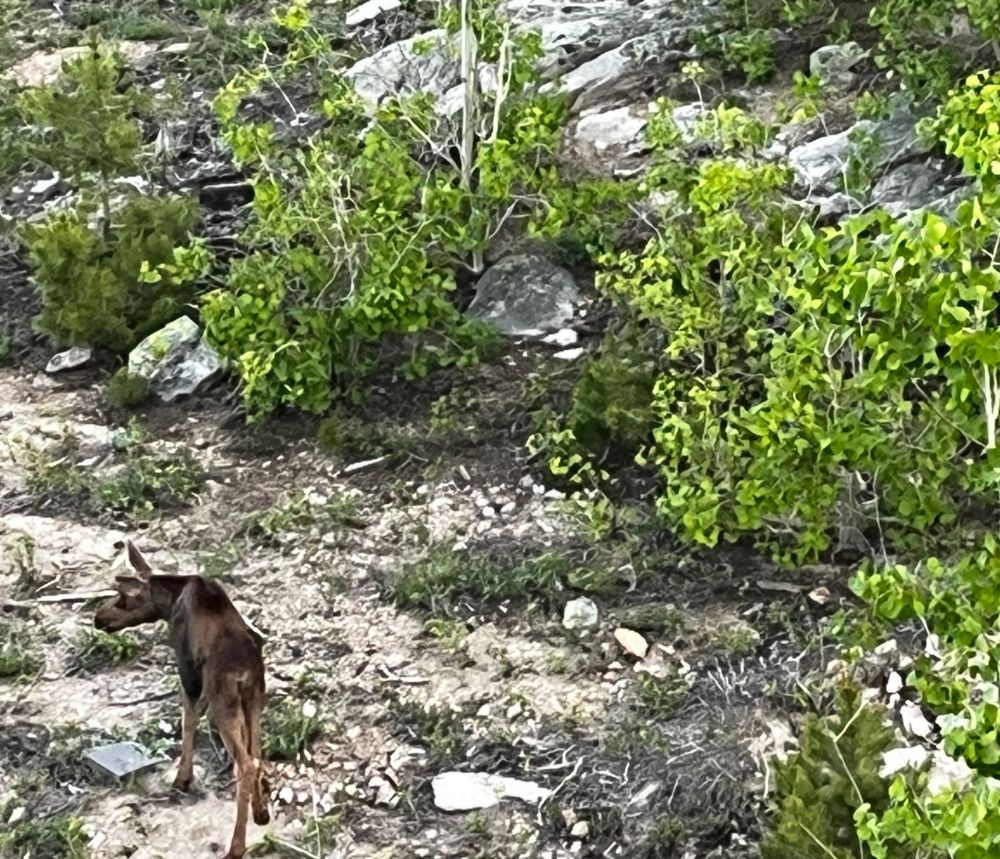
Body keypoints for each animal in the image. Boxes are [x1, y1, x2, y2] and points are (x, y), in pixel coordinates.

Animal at [94, 541, 270, 859]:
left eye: (122, 597)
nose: (98, 618)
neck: (170, 600)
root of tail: (242, 673)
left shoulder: (189, 674)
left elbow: (187, 722)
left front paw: (183, 778)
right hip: (254, 699)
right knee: (256, 754)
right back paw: (261, 813)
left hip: (223, 704)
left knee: (244, 764)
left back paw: (235, 847)